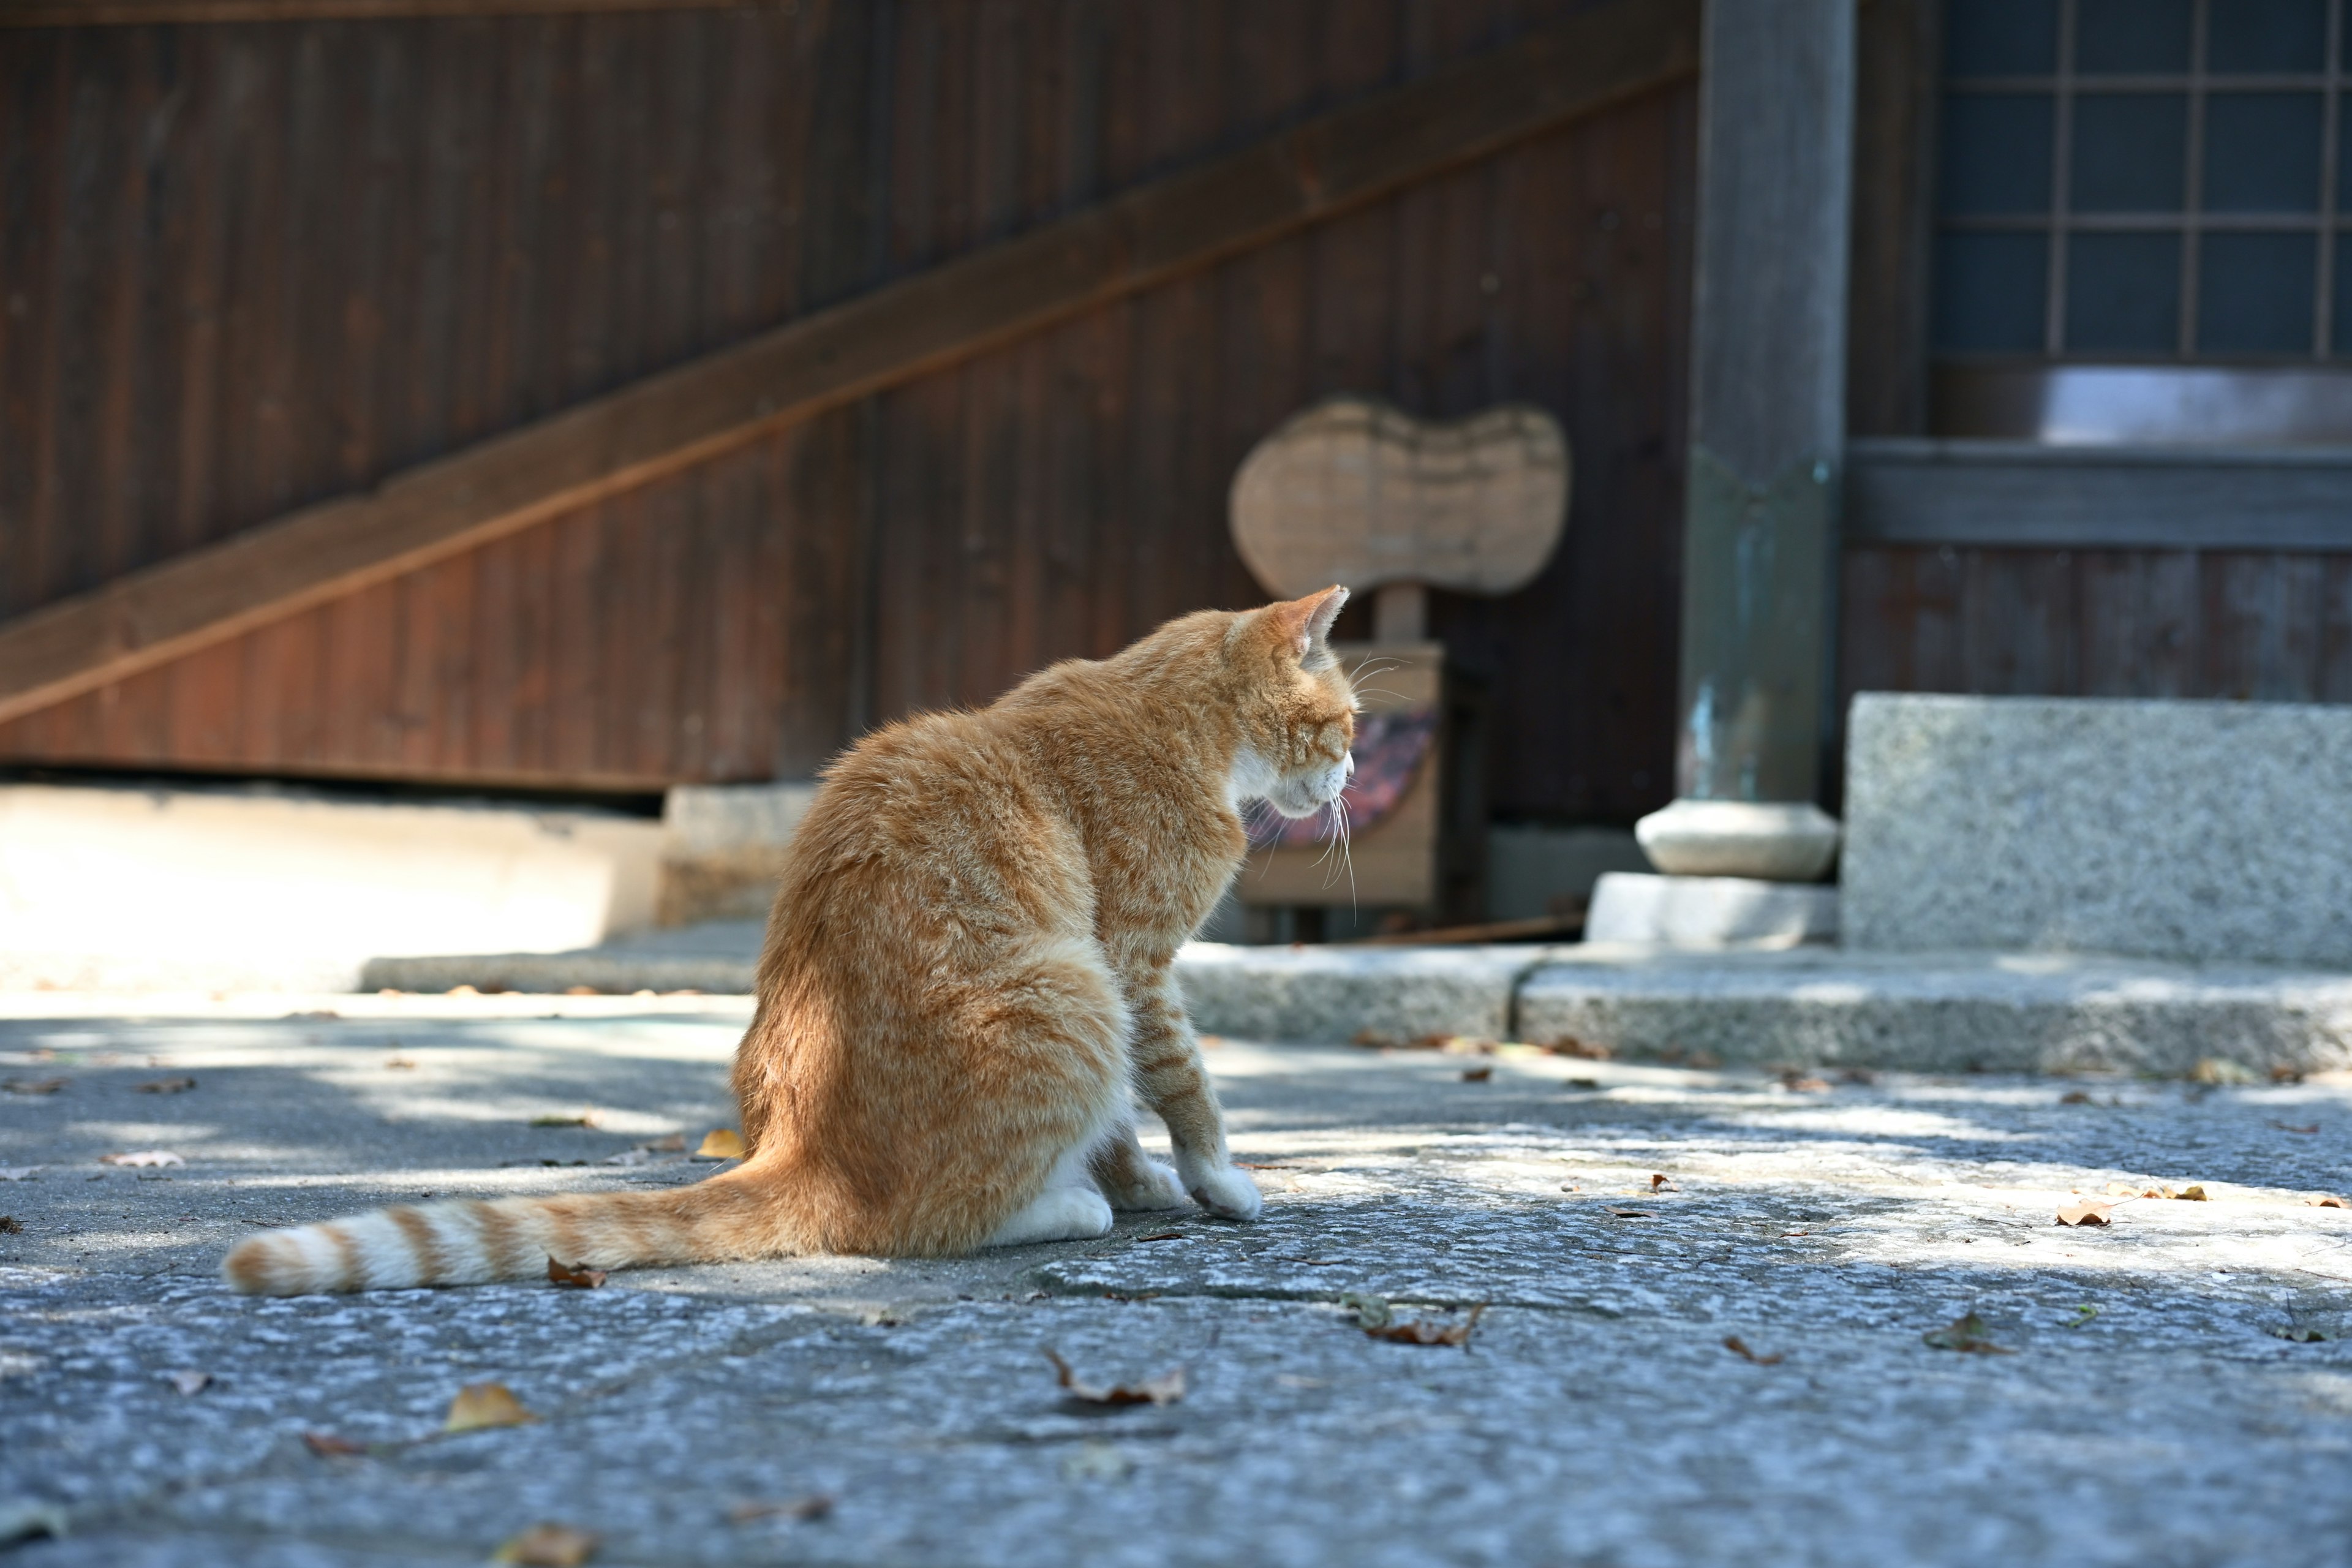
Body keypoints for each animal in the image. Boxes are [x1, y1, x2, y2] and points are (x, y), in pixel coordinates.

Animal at [224, 582, 1364, 1297]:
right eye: (1349, 723)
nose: (1356, 773)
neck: (1175, 718)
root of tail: (803, 1148)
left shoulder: (1126, 975)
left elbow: (1128, 1118)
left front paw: (1149, 1183)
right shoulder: (1133, 966)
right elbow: (1185, 1087)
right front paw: (1216, 1182)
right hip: (1071, 993)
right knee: (926, 1226)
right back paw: (1064, 1208)